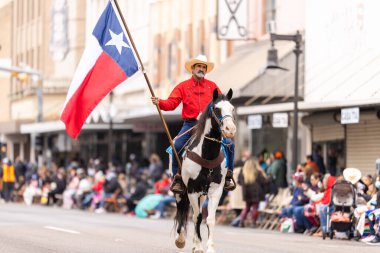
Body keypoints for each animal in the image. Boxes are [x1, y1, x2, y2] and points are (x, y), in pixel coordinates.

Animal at [174, 88, 236, 253]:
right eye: (217, 108)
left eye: (232, 108)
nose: (230, 130)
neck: (207, 154)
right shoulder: (192, 190)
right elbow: (197, 217)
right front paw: (198, 246)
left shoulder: (216, 190)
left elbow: (210, 219)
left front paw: (209, 247)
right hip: (182, 192)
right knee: (183, 210)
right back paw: (181, 239)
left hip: (202, 194)